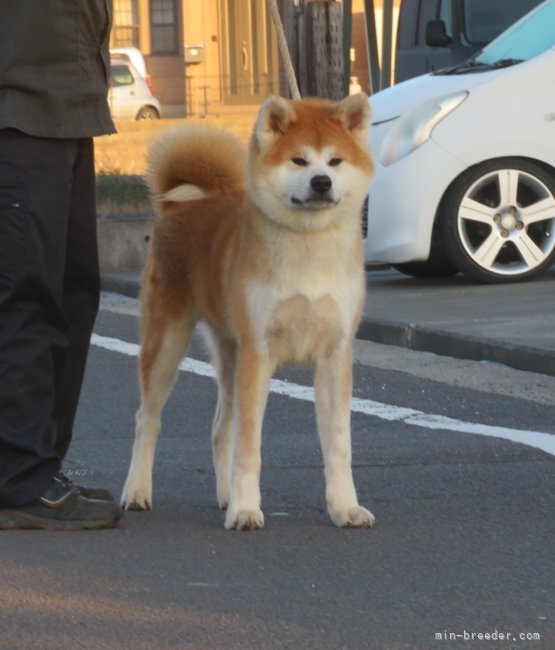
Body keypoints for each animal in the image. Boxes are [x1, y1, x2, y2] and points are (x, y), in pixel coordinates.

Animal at [119, 93, 376, 528]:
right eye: (299, 161)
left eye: (335, 161)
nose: (321, 182)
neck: (308, 249)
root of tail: (180, 204)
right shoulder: (259, 352)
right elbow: (249, 445)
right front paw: (246, 509)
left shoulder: (334, 354)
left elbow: (338, 445)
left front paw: (345, 507)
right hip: (168, 341)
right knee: (146, 420)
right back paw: (137, 491)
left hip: (230, 353)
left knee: (220, 428)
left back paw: (224, 495)